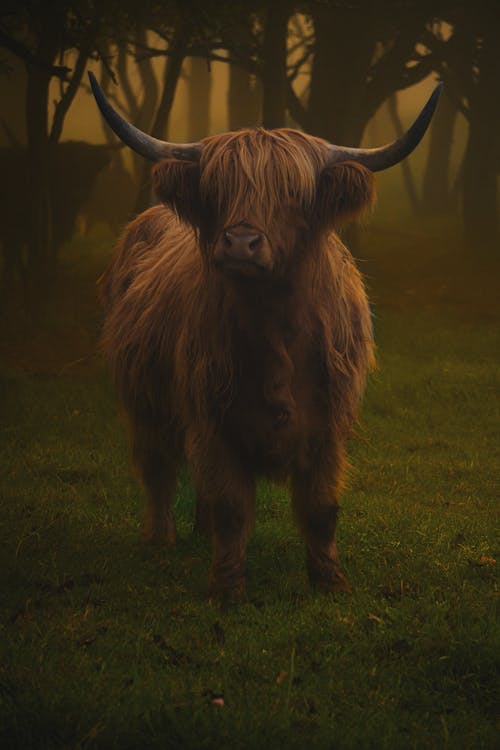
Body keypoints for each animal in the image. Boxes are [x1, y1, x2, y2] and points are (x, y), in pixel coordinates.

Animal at [90, 73, 442, 604]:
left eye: (293, 192)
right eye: (218, 188)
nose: (240, 243)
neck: (276, 331)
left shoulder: (329, 426)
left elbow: (321, 507)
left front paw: (330, 582)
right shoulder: (214, 421)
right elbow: (233, 506)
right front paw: (227, 589)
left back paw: (199, 531)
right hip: (145, 403)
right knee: (158, 470)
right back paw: (161, 538)